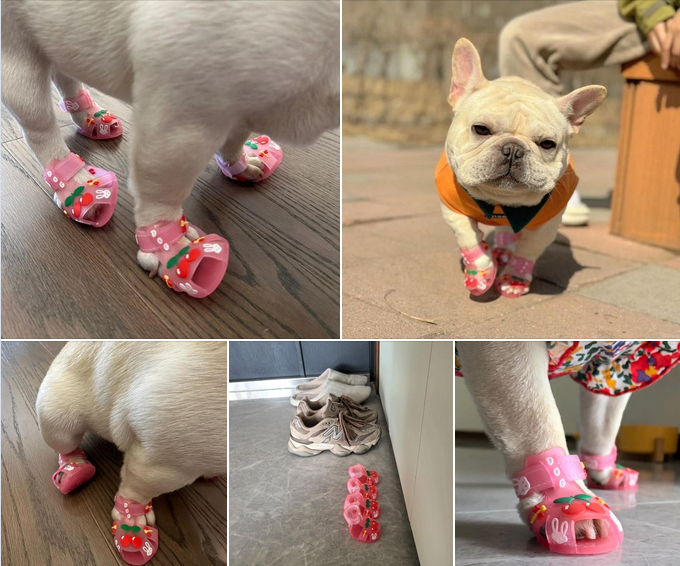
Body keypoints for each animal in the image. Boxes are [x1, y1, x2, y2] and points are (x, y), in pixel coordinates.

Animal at [1, 0, 338, 300]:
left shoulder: (237, 107)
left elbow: (236, 135)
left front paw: (241, 163)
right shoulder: (180, 125)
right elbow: (163, 189)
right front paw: (172, 248)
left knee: (65, 70)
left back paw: (89, 117)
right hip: (16, 55)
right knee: (39, 123)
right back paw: (77, 183)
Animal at [36, 344, 228, 564]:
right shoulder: (163, 463)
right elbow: (136, 489)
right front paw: (132, 521)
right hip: (58, 421)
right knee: (66, 445)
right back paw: (75, 470)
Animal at [436, 38, 604, 298]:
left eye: (547, 144)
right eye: (481, 129)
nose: (513, 149)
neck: (500, 201)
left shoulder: (547, 225)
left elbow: (529, 248)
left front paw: (515, 279)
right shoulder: (452, 206)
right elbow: (468, 235)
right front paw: (482, 272)